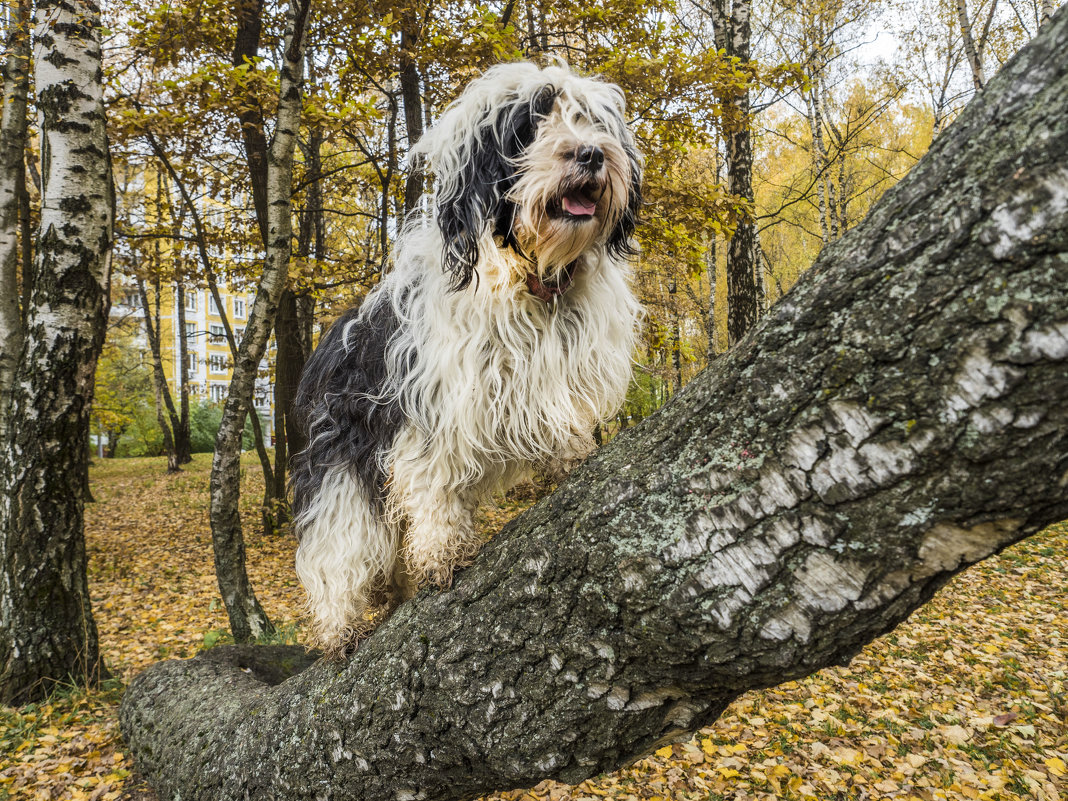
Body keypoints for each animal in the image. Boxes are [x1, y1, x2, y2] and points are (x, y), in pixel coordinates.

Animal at [292, 61, 640, 653]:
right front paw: (442, 553)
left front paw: (572, 456)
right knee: (335, 549)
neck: (529, 276)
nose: (591, 154)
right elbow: (432, 483)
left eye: (590, 120)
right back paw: (339, 627)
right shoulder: (429, 406)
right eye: (529, 124)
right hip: (340, 472)